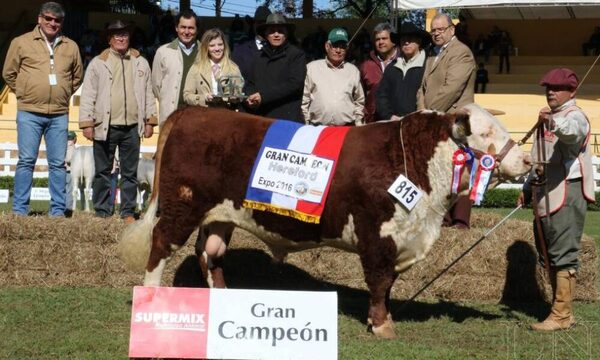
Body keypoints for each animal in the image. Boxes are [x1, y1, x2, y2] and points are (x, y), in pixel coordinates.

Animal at [117, 103, 528, 338]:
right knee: (160, 246)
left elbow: (389, 284)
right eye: (486, 132)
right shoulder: (377, 234)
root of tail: (193, 110)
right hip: (181, 207)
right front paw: (382, 325)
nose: (526, 161)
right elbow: (380, 281)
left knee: (209, 253)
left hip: (220, 215)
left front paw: (381, 319)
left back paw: (224, 296)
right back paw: (152, 298)